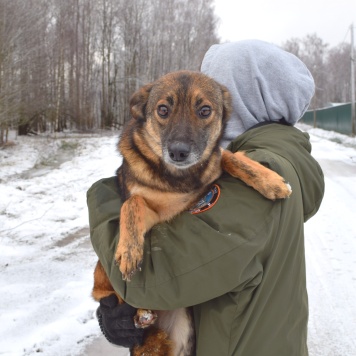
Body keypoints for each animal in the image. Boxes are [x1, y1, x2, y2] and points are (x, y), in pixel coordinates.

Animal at [92, 71, 292, 354]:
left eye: (205, 110)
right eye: (163, 110)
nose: (178, 152)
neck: (180, 179)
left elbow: (226, 155)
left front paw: (268, 180)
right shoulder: (153, 215)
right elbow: (132, 203)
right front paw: (129, 251)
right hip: (105, 278)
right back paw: (138, 312)